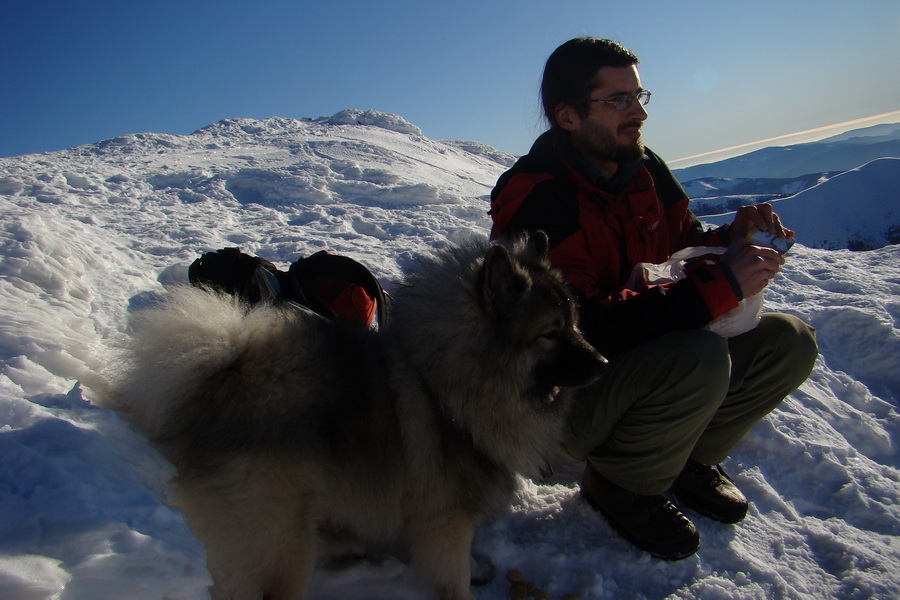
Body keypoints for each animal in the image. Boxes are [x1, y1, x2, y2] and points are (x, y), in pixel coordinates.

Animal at [110, 234, 604, 600]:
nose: (603, 362)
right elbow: (454, 579)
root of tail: (220, 376)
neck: (448, 380)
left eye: (574, 322)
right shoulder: (447, 522)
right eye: (550, 333)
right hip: (279, 543)